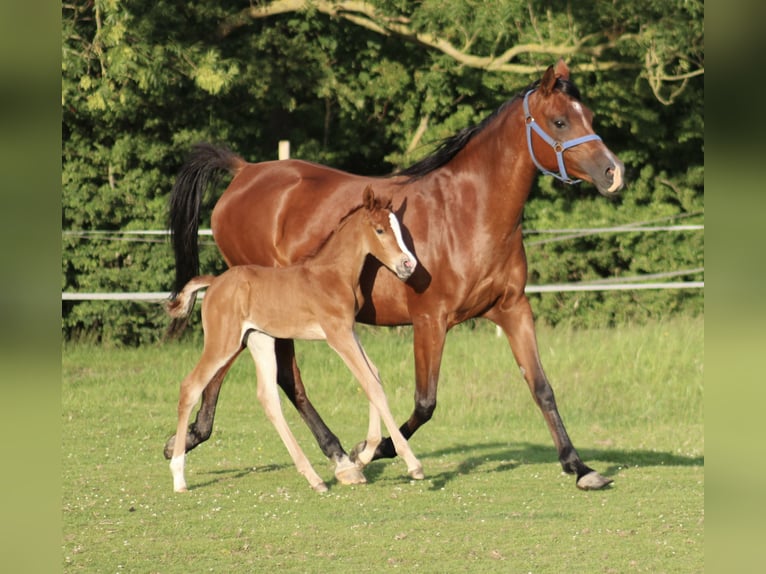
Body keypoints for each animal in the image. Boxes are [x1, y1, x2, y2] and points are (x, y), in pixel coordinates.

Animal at [165, 185, 423, 492]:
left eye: (399, 228)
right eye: (380, 230)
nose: (408, 264)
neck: (333, 274)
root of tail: (214, 282)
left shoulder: (349, 330)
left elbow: (374, 375)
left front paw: (363, 453)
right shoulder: (337, 335)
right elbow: (371, 383)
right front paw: (412, 463)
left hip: (260, 339)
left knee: (267, 397)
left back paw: (314, 478)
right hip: (222, 343)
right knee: (190, 387)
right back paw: (178, 476)